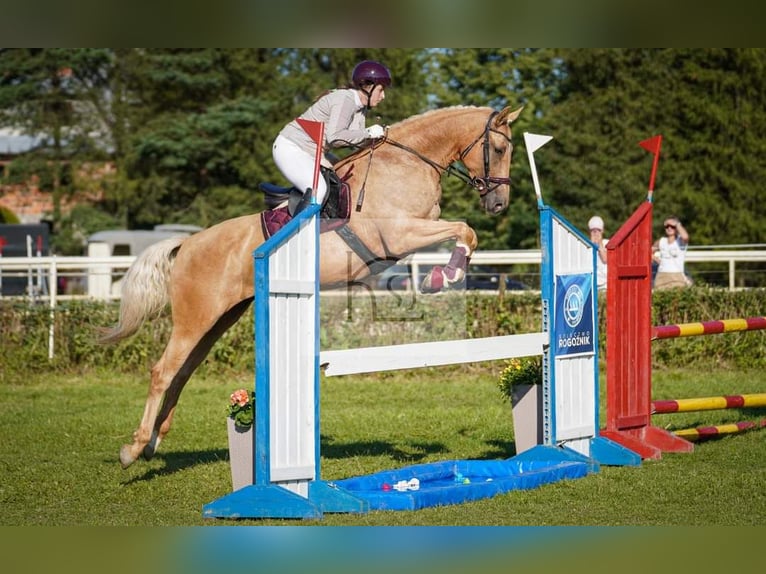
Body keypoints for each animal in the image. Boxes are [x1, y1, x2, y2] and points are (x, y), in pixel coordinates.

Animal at [105, 106, 524, 470]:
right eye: (499, 149)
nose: (499, 204)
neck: (408, 162)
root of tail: (188, 244)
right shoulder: (400, 233)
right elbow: (464, 229)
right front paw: (442, 277)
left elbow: (464, 232)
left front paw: (442, 275)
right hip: (196, 316)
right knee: (162, 371)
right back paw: (132, 449)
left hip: (218, 318)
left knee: (182, 372)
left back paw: (154, 444)